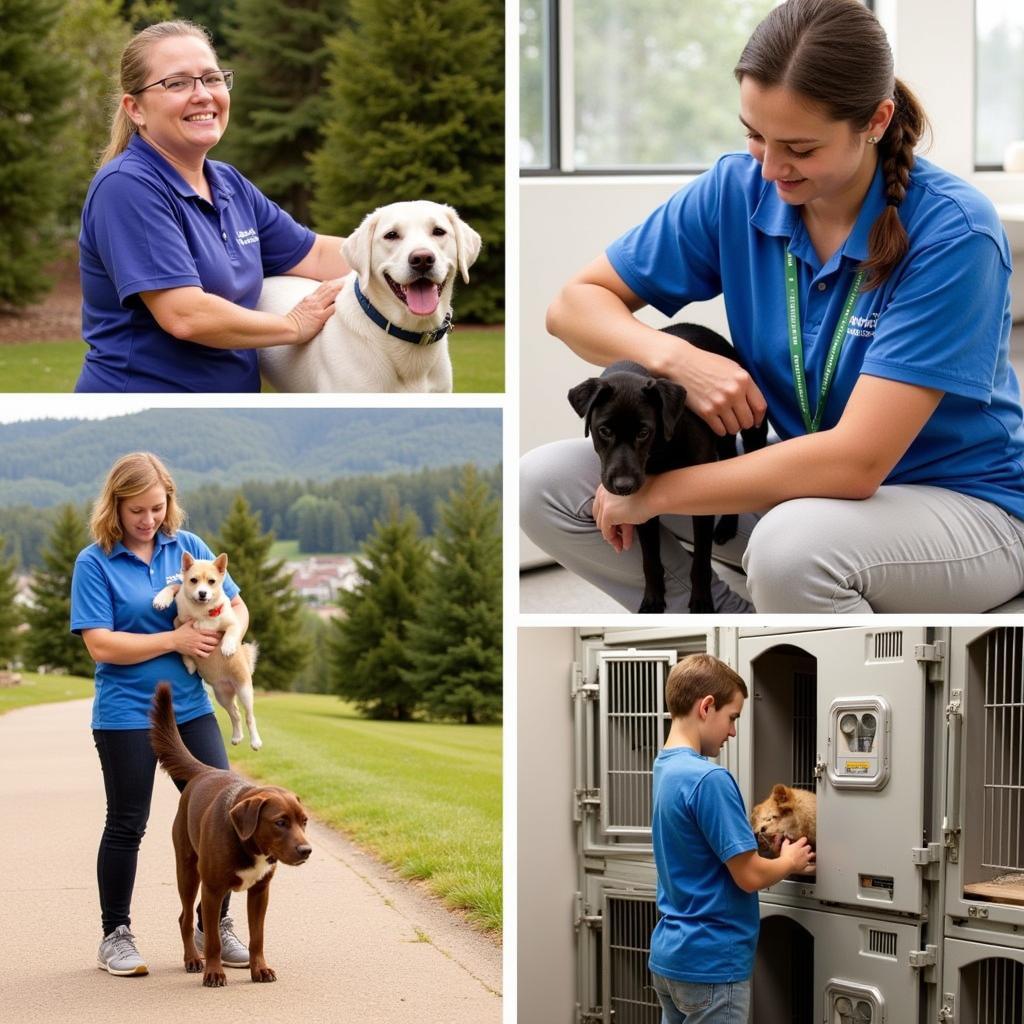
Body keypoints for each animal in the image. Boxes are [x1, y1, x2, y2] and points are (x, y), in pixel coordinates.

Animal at [147, 679, 307, 983]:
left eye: (304, 821)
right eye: (280, 822)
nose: (307, 850)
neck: (250, 845)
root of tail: (204, 771)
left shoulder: (260, 892)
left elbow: (258, 937)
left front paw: (260, 969)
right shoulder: (211, 889)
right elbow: (212, 940)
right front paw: (213, 973)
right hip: (188, 871)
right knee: (186, 918)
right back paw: (192, 959)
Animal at [153, 557, 264, 749]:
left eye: (212, 581)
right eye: (193, 580)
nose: (202, 593)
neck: (201, 612)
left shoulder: (232, 623)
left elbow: (231, 632)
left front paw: (227, 647)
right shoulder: (178, 621)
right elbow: (174, 588)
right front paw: (162, 599)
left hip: (244, 690)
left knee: (249, 717)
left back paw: (255, 741)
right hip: (222, 696)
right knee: (235, 714)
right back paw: (236, 737)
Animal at [569, 323, 770, 610]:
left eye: (644, 432)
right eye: (604, 431)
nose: (623, 487)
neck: (660, 449)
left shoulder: (702, 499)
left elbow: (701, 562)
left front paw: (701, 603)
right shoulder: (641, 509)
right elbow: (650, 561)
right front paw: (653, 601)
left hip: (752, 426)